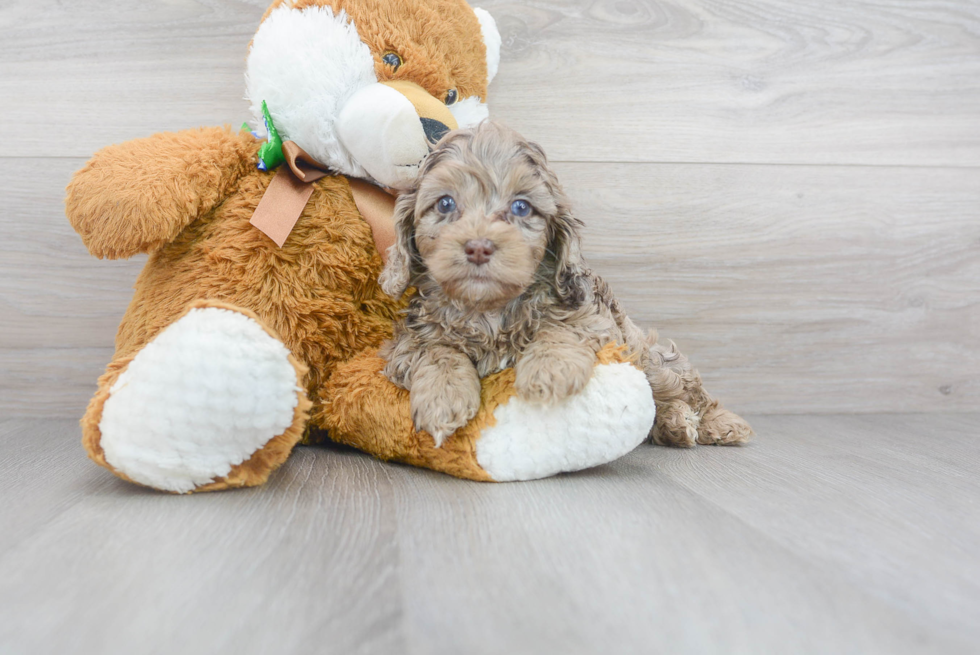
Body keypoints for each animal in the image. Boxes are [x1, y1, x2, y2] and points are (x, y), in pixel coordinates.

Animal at [376, 120, 752, 448]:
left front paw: (548, 371)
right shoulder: (405, 344)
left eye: (521, 207)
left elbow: (561, 328)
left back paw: (715, 424)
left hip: (652, 360)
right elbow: (436, 351)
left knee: (685, 391)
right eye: (445, 203)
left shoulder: (595, 319)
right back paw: (675, 425)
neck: (488, 311)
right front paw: (443, 397)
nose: (478, 247)